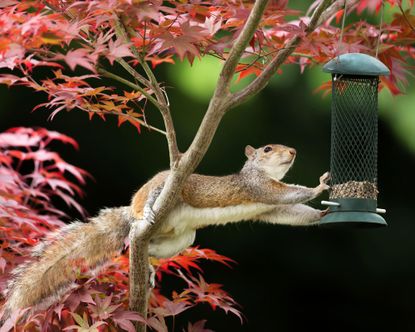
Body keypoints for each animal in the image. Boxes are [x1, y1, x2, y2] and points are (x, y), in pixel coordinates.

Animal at [0, 144, 332, 320]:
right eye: (267, 149)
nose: (292, 151)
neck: (258, 172)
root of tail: (132, 213)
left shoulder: (268, 207)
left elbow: (291, 213)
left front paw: (323, 214)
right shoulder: (260, 188)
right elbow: (290, 194)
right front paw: (319, 187)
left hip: (182, 239)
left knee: (146, 249)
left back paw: (147, 265)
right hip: (161, 188)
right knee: (146, 207)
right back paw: (145, 214)